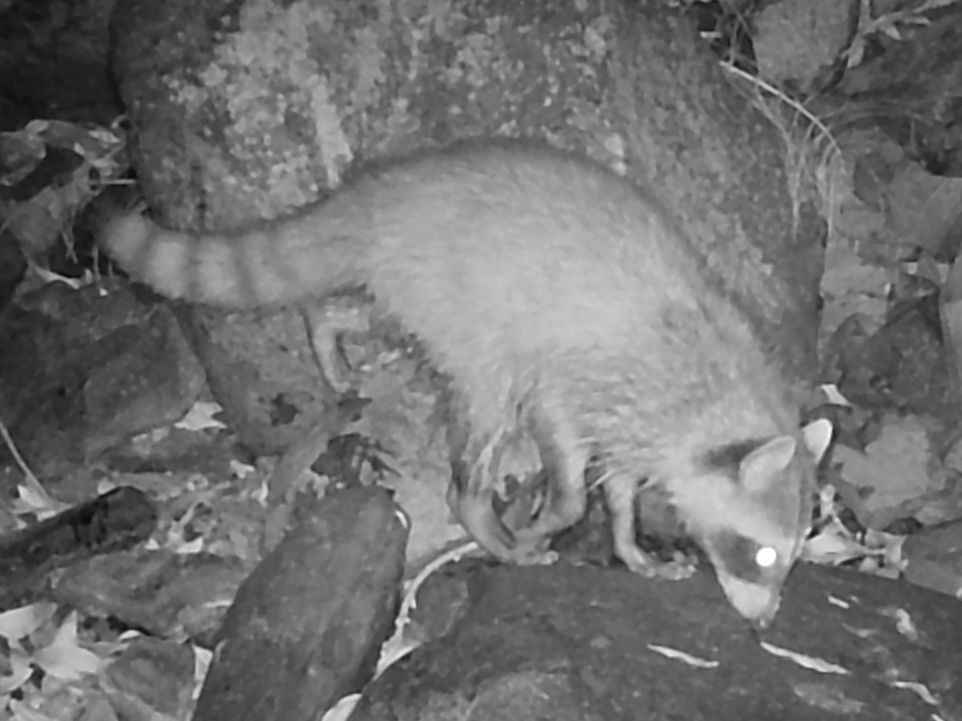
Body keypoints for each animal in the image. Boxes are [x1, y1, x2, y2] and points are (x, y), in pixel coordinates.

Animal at [100, 139, 831, 628]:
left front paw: (630, 543)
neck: (722, 395)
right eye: (763, 554)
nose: (765, 622)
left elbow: (622, 483)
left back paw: (326, 328)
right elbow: (566, 457)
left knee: (359, 311)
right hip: (467, 313)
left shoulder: (642, 421)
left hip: (416, 290)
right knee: (483, 413)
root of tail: (386, 196)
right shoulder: (588, 374)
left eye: (795, 554)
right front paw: (554, 518)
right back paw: (482, 517)